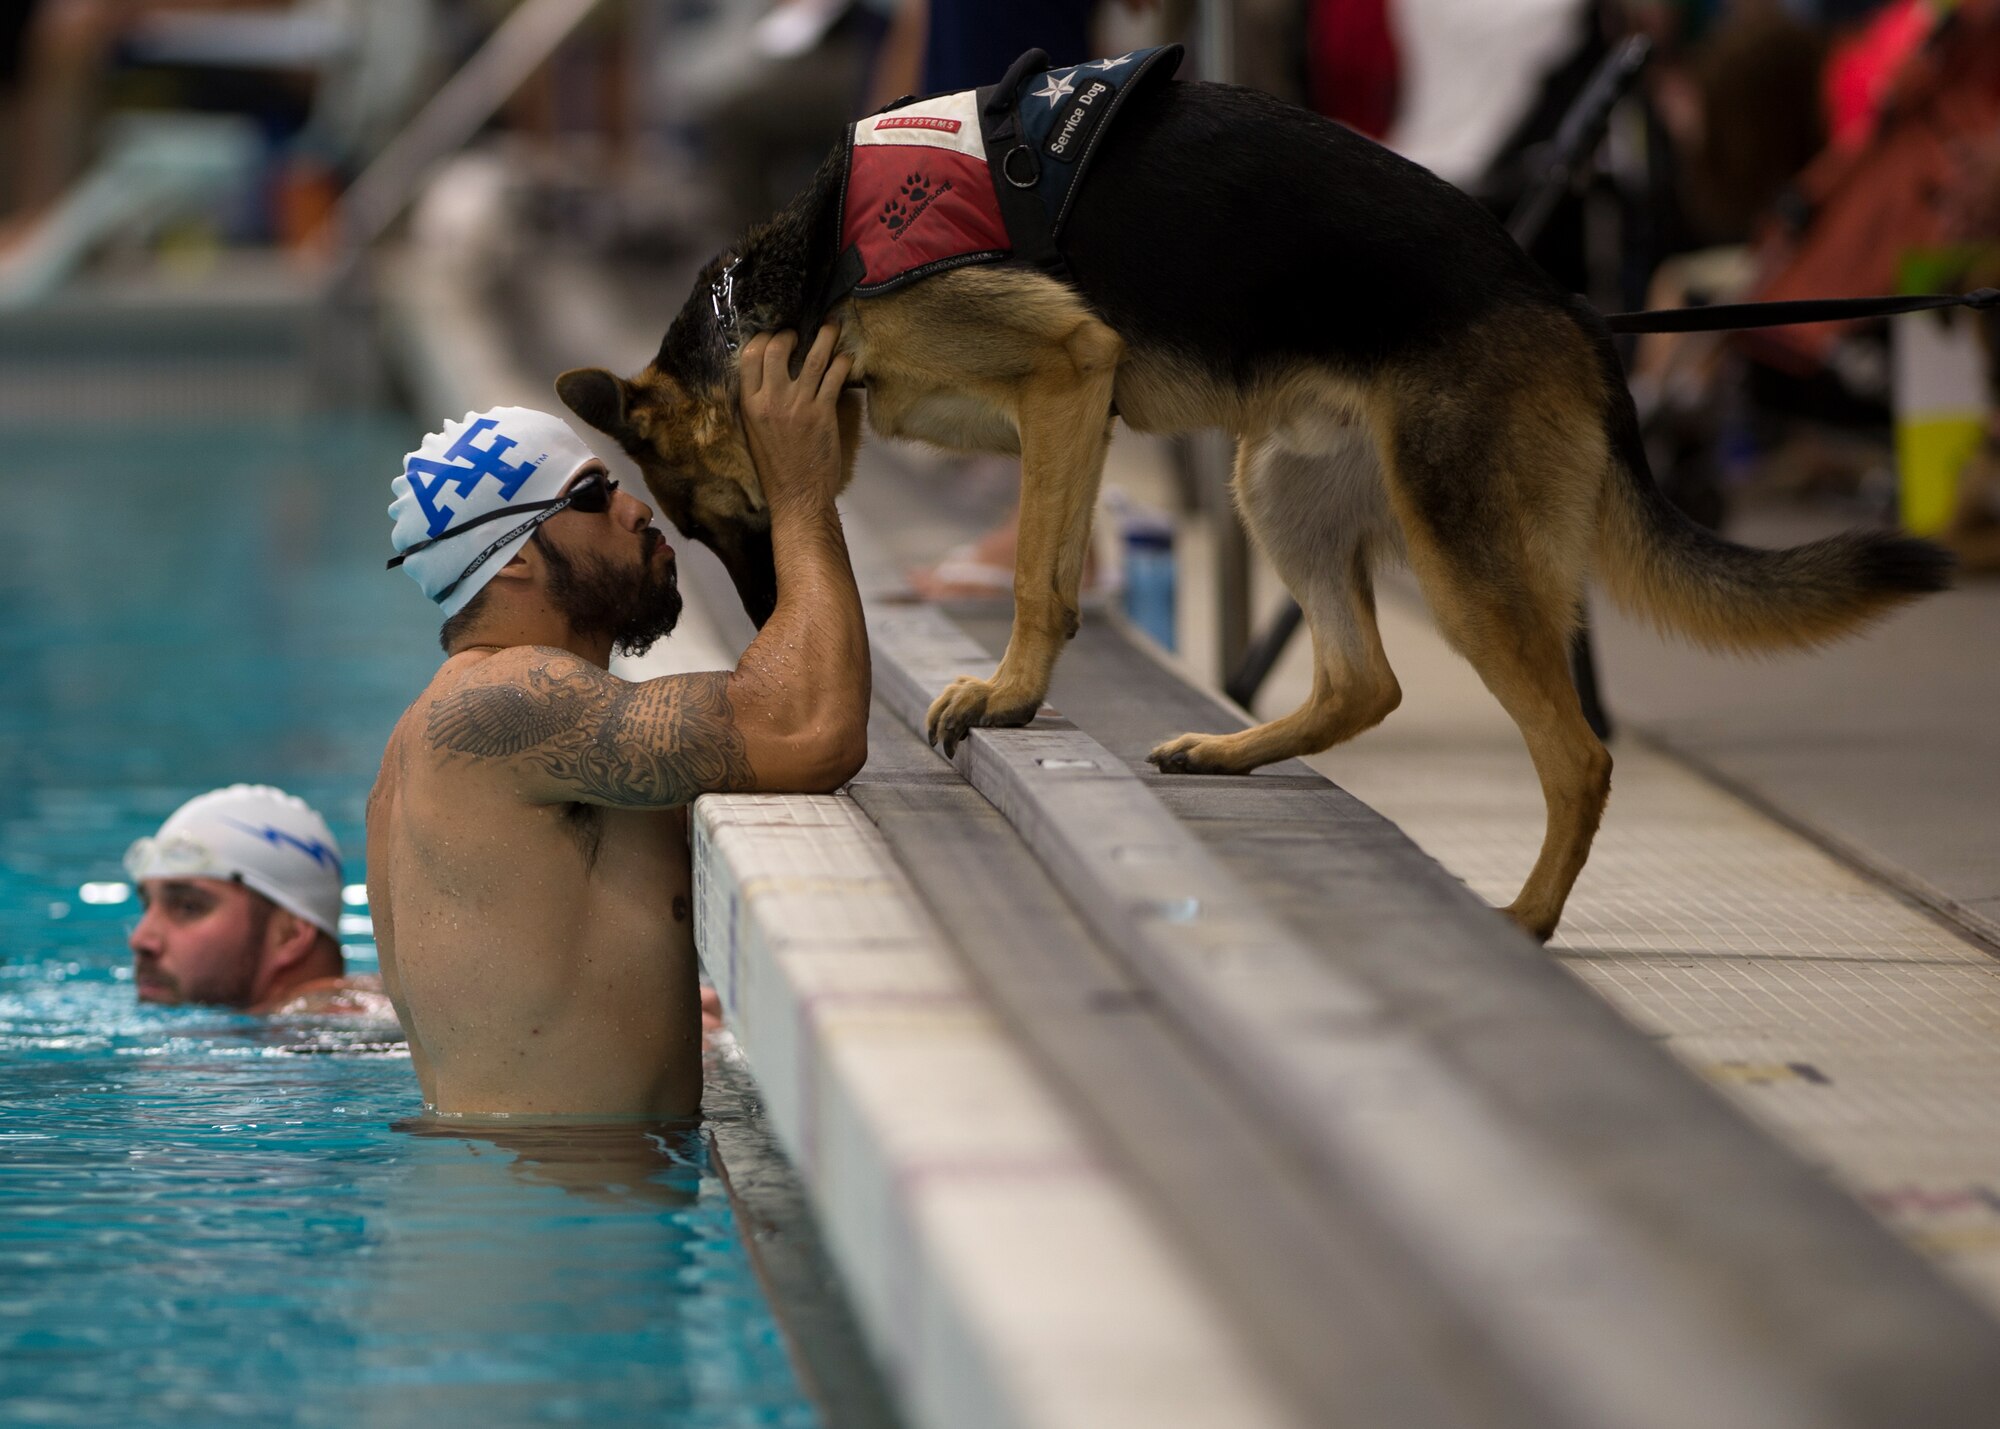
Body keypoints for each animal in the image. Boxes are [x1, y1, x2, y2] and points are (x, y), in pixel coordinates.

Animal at [560, 72, 1952, 936]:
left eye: (715, 521)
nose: (763, 621)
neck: (797, 283)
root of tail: (1563, 298)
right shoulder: (1072, 407)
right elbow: (1054, 558)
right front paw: (1024, 691)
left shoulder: (1064, 369)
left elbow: (1038, 574)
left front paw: (1007, 692)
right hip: (1275, 484)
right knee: (1363, 682)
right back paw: (1228, 751)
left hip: (1459, 557)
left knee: (1578, 754)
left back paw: (1526, 915)